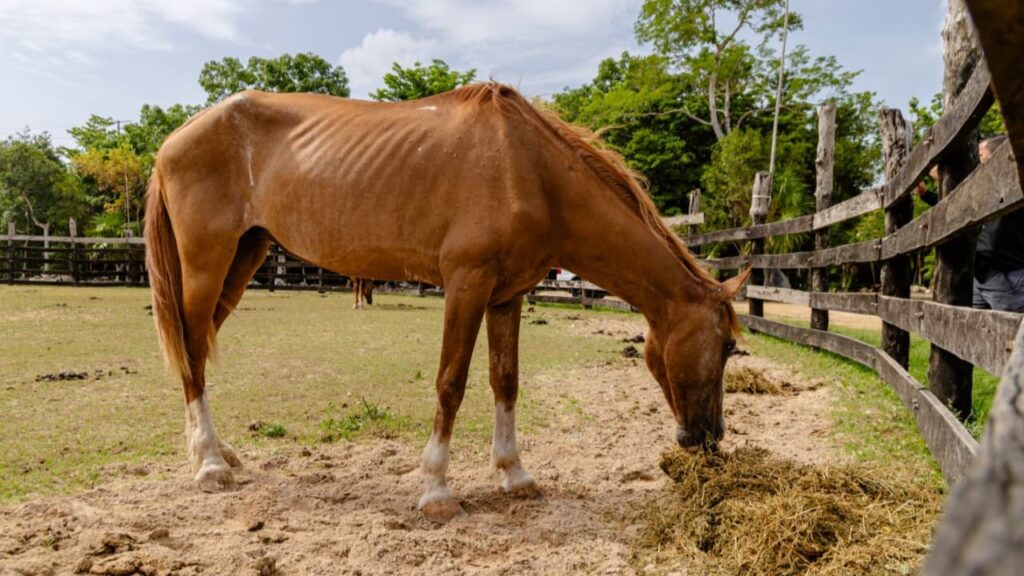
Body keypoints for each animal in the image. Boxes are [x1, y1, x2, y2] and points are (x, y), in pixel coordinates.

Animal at [144, 82, 749, 521]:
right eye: (726, 347)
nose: (709, 440)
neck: (528, 169)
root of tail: (175, 140)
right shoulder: (466, 284)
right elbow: (451, 383)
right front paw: (436, 489)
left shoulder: (507, 297)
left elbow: (505, 381)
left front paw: (515, 475)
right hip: (208, 263)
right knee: (192, 351)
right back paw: (210, 466)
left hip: (244, 257)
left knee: (198, 351)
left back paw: (221, 453)